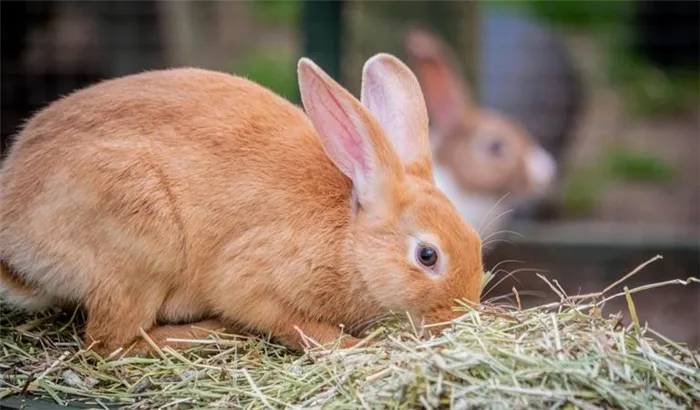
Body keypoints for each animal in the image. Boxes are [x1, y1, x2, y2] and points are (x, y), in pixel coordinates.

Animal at [0, 53, 482, 356]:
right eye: (427, 255)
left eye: (477, 242)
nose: (459, 316)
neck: (349, 240)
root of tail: (15, 238)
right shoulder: (252, 281)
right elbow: (298, 325)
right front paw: (353, 346)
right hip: (139, 247)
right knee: (112, 344)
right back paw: (208, 333)